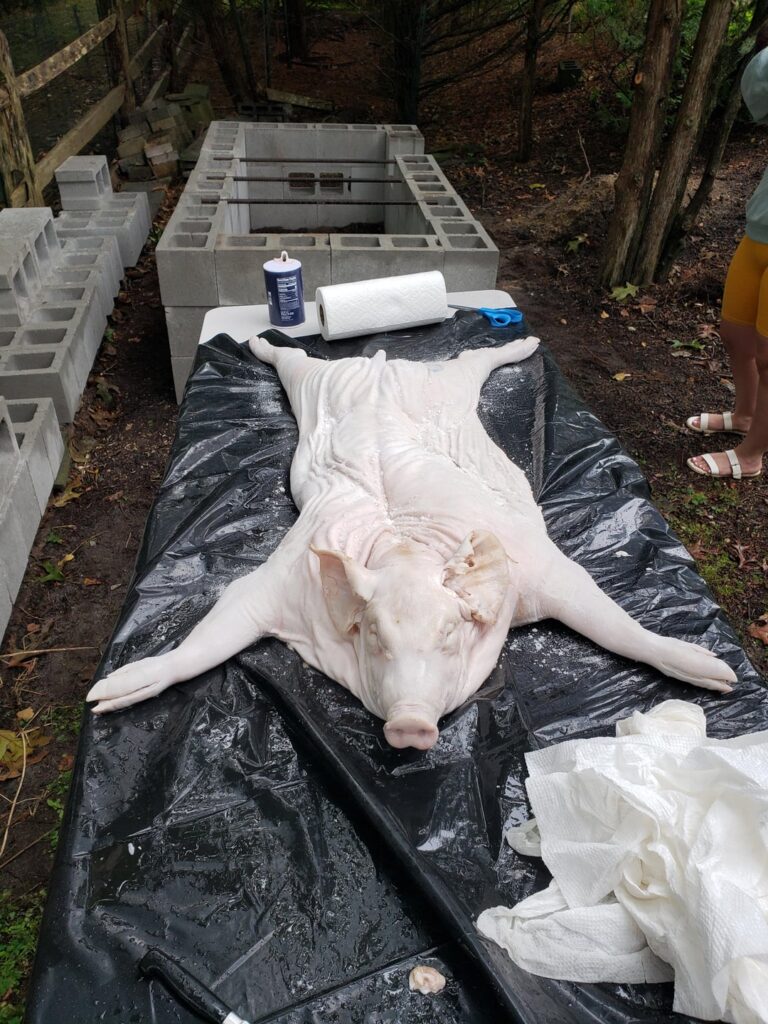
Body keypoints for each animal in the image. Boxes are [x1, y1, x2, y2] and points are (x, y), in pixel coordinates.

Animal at [87, 336, 736, 748]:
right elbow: (221, 620)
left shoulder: (535, 571)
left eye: (449, 633)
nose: (410, 726)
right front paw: (107, 695)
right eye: (375, 635)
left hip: (442, 383)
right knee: (289, 356)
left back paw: (525, 344)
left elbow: (606, 617)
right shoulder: (284, 585)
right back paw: (253, 345)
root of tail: (381, 363)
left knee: (475, 356)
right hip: (316, 385)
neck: (403, 546)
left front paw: (716, 674)